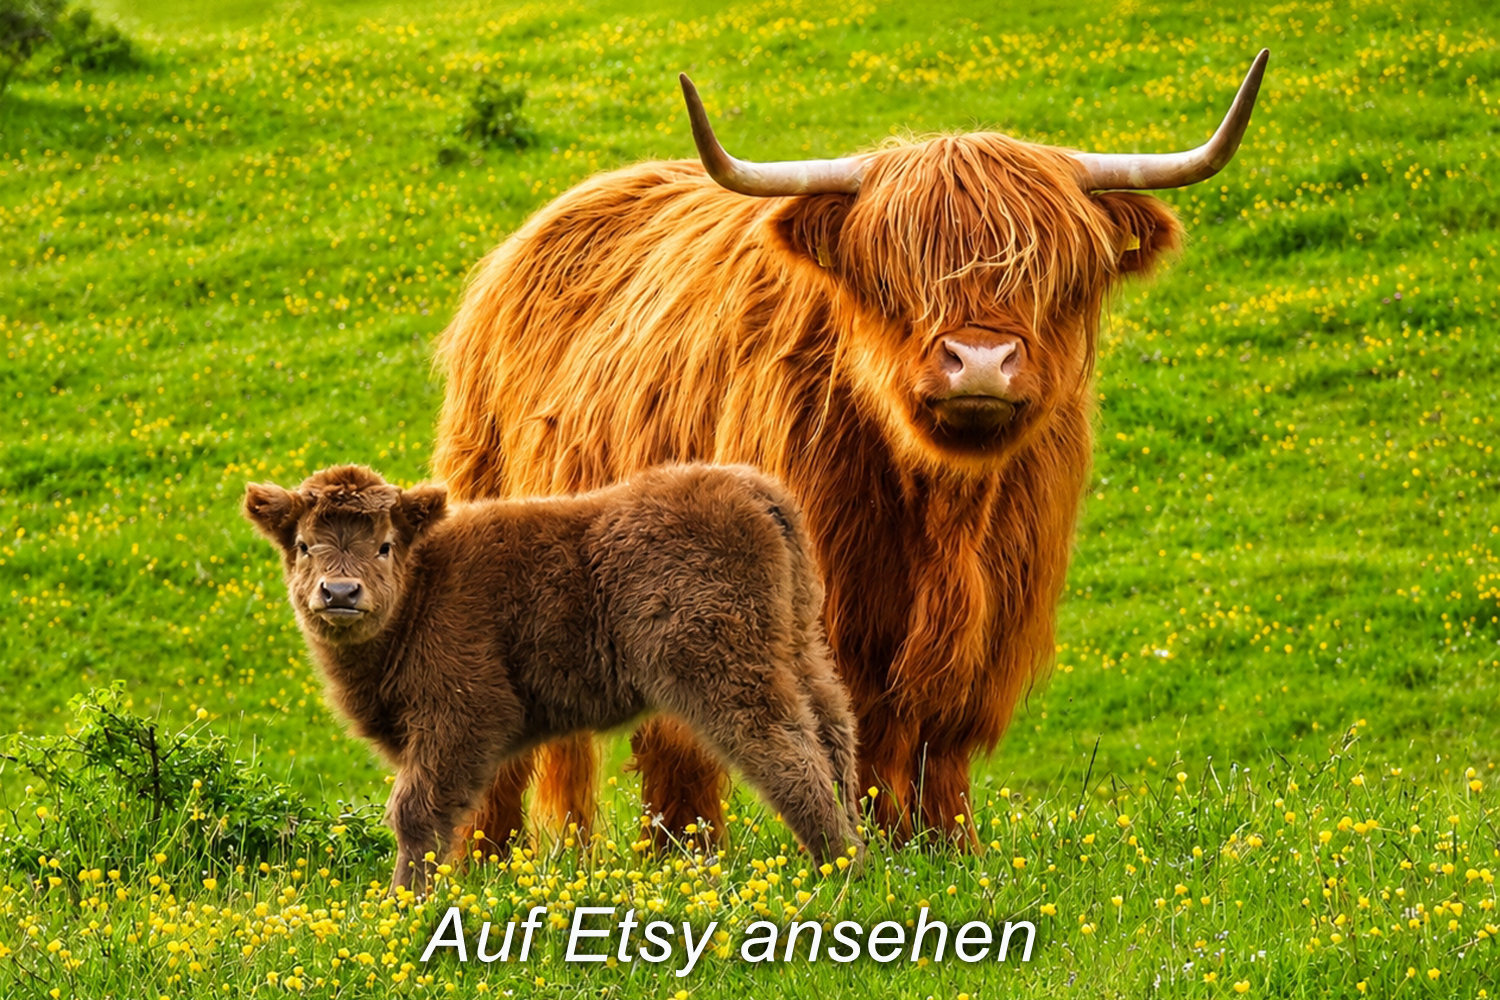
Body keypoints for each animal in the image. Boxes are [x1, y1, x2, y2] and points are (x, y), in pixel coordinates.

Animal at [431, 51, 1269, 848]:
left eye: (1049, 270)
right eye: (898, 273)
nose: (980, 360)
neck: (945, 510)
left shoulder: (995, 615)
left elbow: (940, 743)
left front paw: (950, 851)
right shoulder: (825, 607)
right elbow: (853, 732)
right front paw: (867, 855)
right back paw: (504, 857)